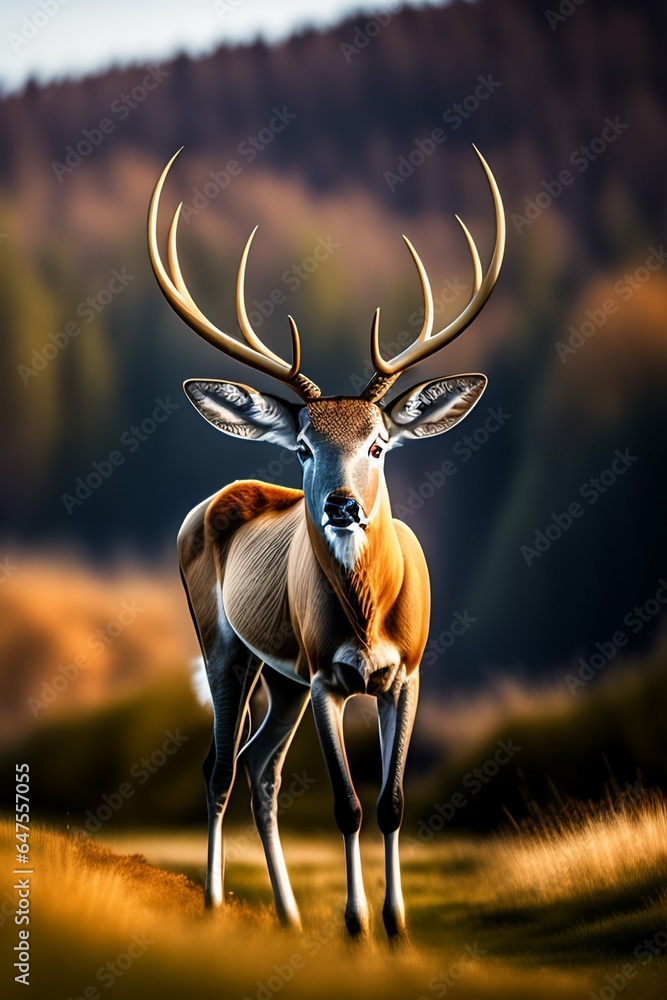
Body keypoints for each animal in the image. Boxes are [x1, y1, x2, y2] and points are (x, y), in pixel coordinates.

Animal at [148, 145, 504, 939]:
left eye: (378, 444)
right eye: (307, 447)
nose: (343, 505)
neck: (369, 621)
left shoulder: (407, 674)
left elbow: (392, 803)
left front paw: (396, 926)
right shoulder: (323, 678)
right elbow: (345, 807)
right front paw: (356, 925)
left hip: (279, 678)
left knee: (260, 767)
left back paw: (287, 915)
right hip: (226, 644)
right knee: (221, 769)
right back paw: (215, 905)